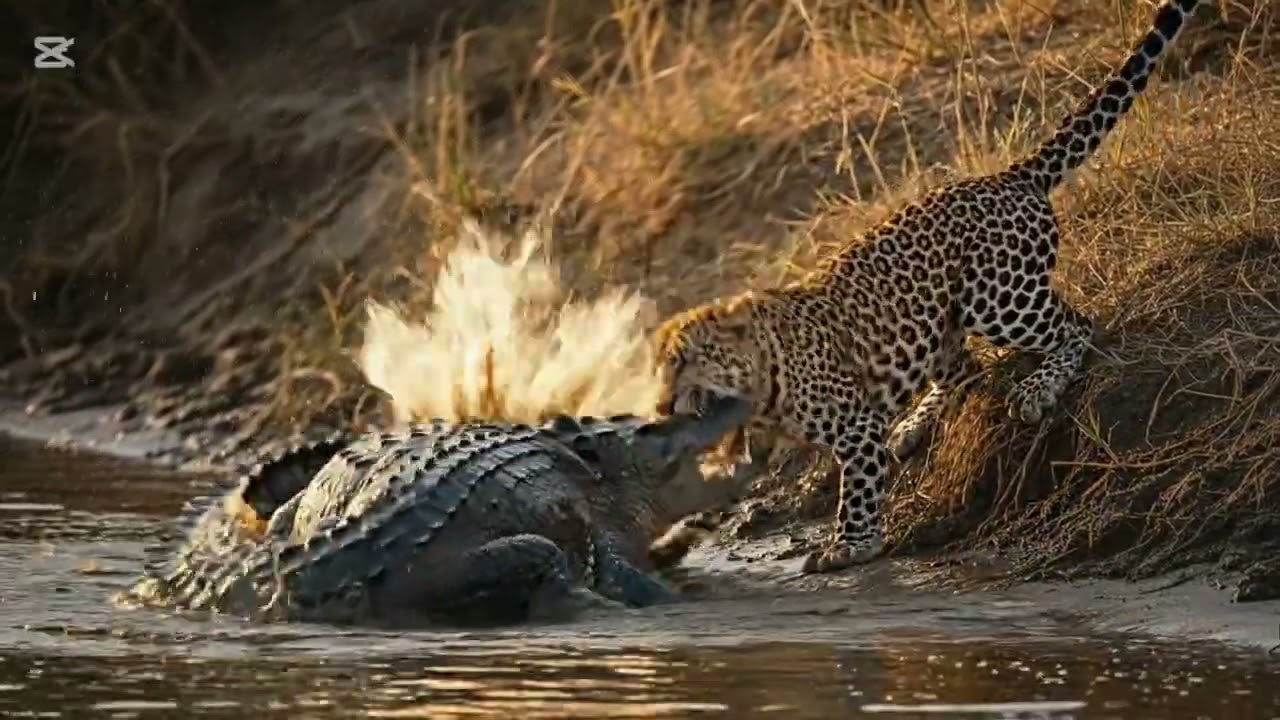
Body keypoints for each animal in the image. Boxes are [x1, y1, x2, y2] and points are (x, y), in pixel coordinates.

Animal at [651, 0, 1203, 575]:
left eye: (685, 361)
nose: (663, 408)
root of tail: (1008, 177)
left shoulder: (854, 428)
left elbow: (857, 488)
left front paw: (850, 545)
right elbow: (714, 500)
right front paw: (668, 543)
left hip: (998, 299)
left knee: (1076, 325)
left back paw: (1036, 390)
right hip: (941, 326)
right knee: (969, 370)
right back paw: (913, 425)